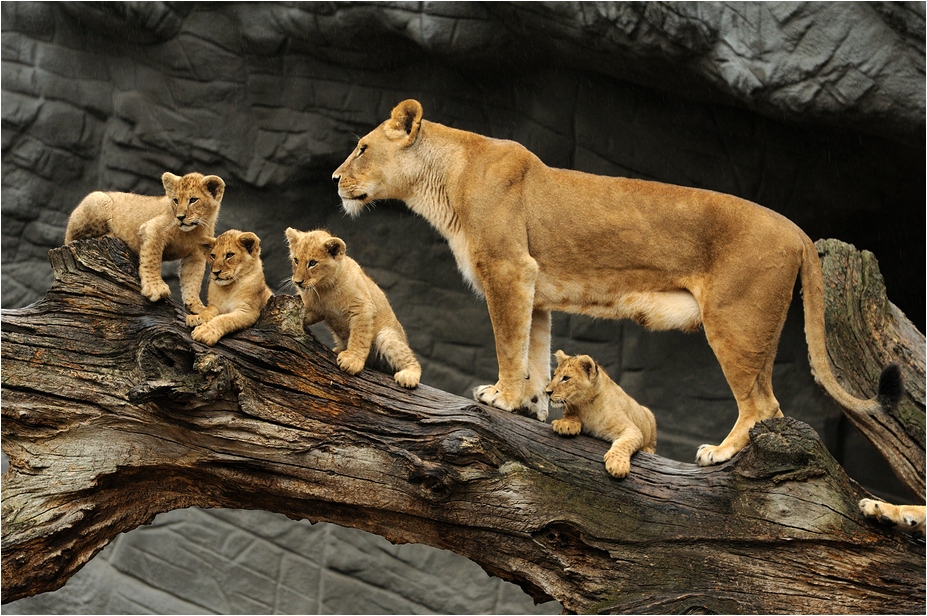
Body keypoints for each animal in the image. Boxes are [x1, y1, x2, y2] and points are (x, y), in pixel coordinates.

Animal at [65, 172, 225, 313]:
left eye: (193, 200)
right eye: (175, 200)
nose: (180, 217)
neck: (194, 230)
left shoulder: (196, 255)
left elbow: (193, 279)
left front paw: (197, 306)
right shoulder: (152, 229)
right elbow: (152, 260)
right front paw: (155, 289)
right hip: (99, 199)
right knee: (72, 238)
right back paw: (110, 234)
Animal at [285, 227, 422, 388]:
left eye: (312, 263)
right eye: (296, 260)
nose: (297, 282)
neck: (323, 288)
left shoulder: (363, 307)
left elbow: (359, 336)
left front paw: (352, 361)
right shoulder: (317, 310)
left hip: (387, 337)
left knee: (412, 360)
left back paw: (409, 375)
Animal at [547, 350, 657, 479]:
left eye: (566, 378)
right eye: (554, 375)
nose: (547, 392)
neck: (587, 406)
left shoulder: (632, 429)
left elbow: (624, 443)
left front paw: (617, 465)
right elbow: (569, 414)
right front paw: (565, 424)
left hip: (649, 414)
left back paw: (647, 450)